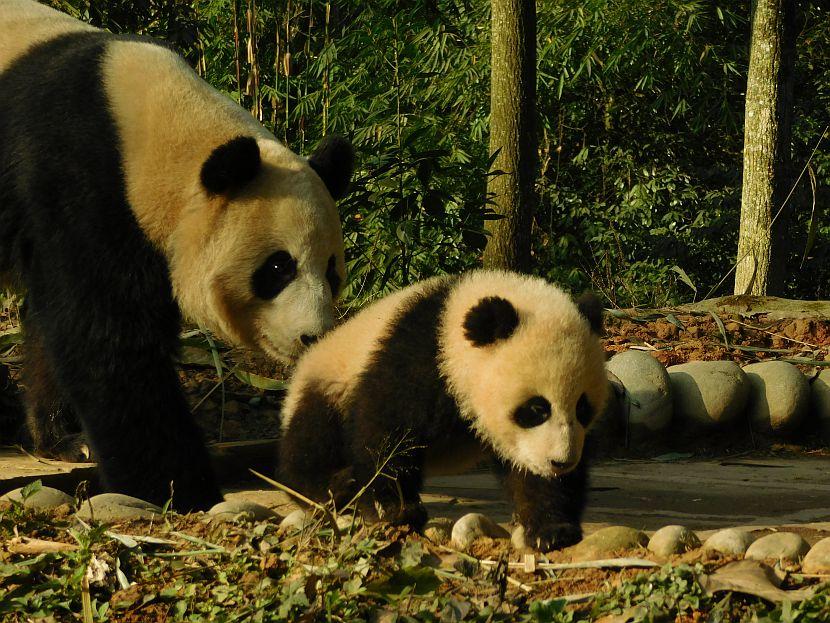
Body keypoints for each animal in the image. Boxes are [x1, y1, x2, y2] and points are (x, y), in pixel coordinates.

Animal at [0, 0, 354, 512]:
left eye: (332, 272)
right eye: (277, 267)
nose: (314, 336)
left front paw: (65, 439)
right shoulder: (80, 182)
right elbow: (105, 339)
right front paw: (181, 488)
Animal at [282, 272, 612, 552]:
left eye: (583, 408)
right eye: (536, 409)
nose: (561, 462)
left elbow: (531, 473)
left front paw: (552, 530)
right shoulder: (413, 359)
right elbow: (385, 434)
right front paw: (398, 510)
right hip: (329, 383)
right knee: (311, 441)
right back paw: (334, 487)